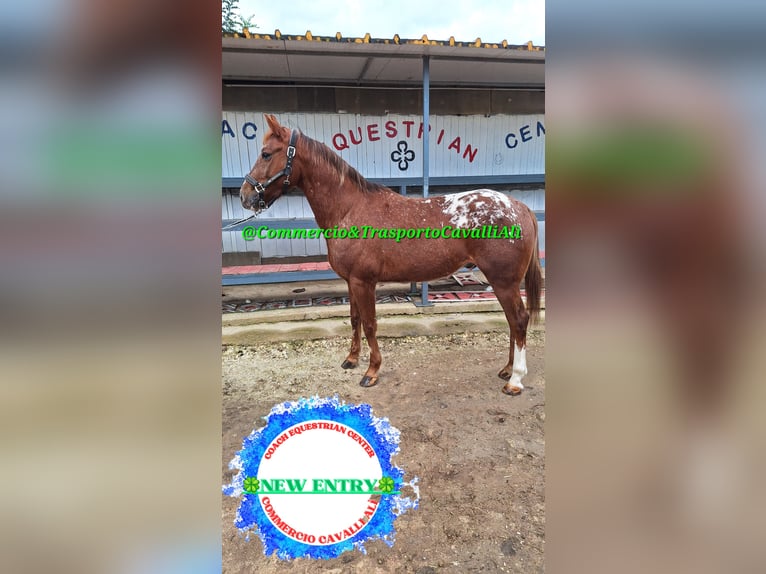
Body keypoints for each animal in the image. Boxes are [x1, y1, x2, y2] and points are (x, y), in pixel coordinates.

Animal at [240, 115, 544, 398]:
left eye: (266, 153)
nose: (245, 196)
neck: (350, 209)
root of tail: (519, 206)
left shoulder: (364, 282)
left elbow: (370, 324)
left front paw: (371, 371)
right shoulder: (351, 281)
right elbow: (354, 319)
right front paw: (351, 359)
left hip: (503, 282)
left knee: (519, 320)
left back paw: (515, 380)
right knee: (512, 322)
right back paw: (506, 369)